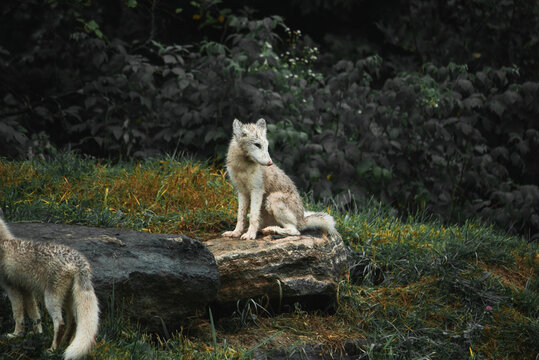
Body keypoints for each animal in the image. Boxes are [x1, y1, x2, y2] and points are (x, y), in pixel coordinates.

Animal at [0, 217, 99, 360]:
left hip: (51, 299)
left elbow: (18, 314)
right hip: (68, 300)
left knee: (60, 323)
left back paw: (52, 350)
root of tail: (78, 260)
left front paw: (15, 335)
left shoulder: (12, 288)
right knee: (73, 322)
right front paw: (37, 334)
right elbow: (34, 314)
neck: (3, 242)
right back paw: (65, 344)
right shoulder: (27, 290)